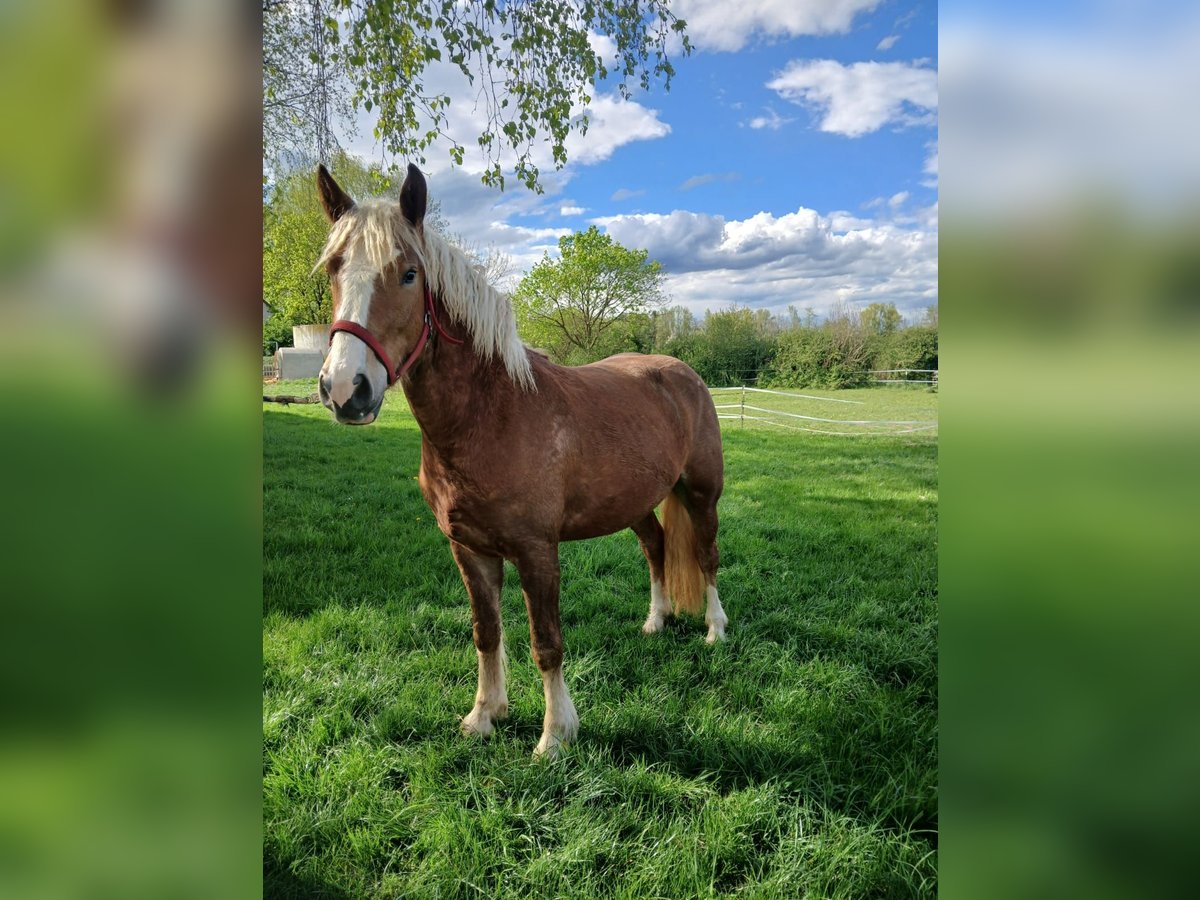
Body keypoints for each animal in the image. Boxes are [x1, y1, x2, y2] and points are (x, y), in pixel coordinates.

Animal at [314, 163, 727, 758]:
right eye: (334, 270)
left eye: (410, 273)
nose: (346, 389)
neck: (489, 417)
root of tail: (683, 372)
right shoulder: (469, 550)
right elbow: (486, 632)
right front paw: (485, 715)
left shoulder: (537, 552)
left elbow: (545, 641)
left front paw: (555, 736)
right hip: (636, 503)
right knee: (656, 547)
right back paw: (656, 621)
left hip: (701, 493)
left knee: (707, 556)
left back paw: (716, 629)